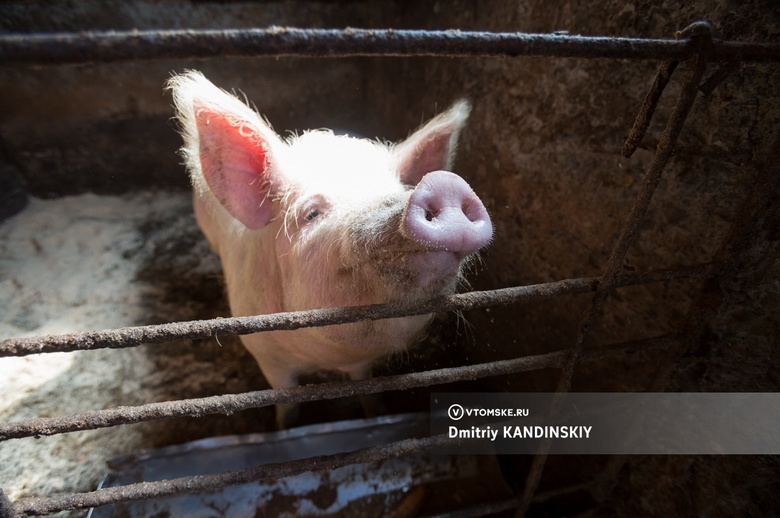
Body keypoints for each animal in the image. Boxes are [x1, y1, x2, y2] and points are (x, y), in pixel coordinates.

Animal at [168, 72, 490, 430]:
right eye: (311, 213)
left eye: (396, 191)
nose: (443, 184)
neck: (321, 358)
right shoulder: (267, 357)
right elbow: (286, 406)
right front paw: (285, 430)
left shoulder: (362, 364)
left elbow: (368, 395)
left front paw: (377, 415)